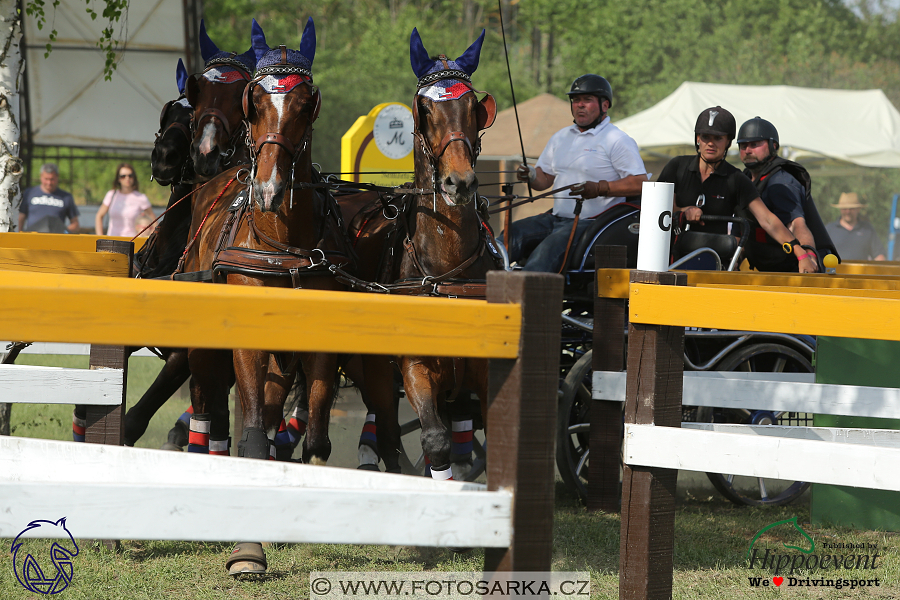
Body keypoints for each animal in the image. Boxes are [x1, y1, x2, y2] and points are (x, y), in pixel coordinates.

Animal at [178, 17, 352, 572]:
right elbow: (251, 429)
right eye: (255, 101)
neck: (284, 242)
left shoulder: (319, 346)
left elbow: (314, 439)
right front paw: (248, 550)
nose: (270, 190)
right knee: (208, 405)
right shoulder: (247, 343)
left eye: (305, 103)